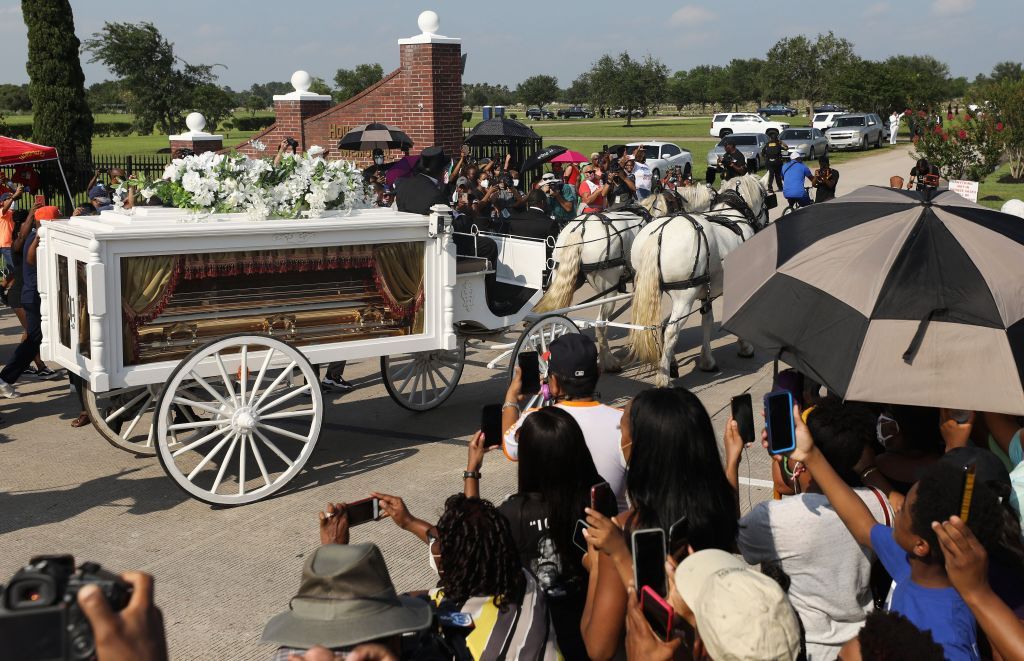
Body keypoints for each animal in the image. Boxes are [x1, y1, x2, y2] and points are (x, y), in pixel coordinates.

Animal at [532, 186, 716, 372]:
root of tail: (580, 228)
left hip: (564, 279)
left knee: (559, 314)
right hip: (608, 289)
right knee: (600, 324)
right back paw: (609, 362)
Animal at [622, 173, 770, 386]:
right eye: (766, 200)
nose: (765, 224)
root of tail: (657, 235)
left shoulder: (705, 290)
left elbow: (707, 320)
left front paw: (707, 361)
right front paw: (745, 347)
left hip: (655, 292)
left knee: (660, 326)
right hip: (684, 296)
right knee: (671, 330)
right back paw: (663, 378)